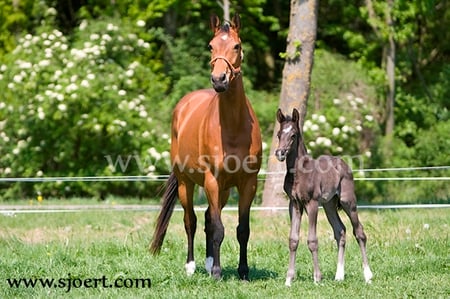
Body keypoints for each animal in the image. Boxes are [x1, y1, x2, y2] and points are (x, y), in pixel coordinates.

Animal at [150, 14, 264, 282]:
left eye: (237, 46)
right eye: (211, 46)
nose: (219, 80)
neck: (233, 126)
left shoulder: (248, 183)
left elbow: (242, 229)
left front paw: (243, 271)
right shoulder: (212, 180)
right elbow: (219, 228)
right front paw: (218, 273)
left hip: (223, 191)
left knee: (208, 219)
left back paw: (209, 261)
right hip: (186, 183)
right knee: (190, 220)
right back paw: (192, 265)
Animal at [274, 109, 372, 288]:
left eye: (293, 135)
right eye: (279, 134)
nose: (280, 153)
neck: (299, 173)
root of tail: (343, 163)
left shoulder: (311, 203)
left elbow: (312, 241)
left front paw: (317, 278)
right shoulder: (295, 204)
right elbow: (293, 240)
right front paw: (289, 279)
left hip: (348, 202)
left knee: (359, 232)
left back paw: (368, 275)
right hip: (329, 205)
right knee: (340, 231)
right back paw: (339, 276)